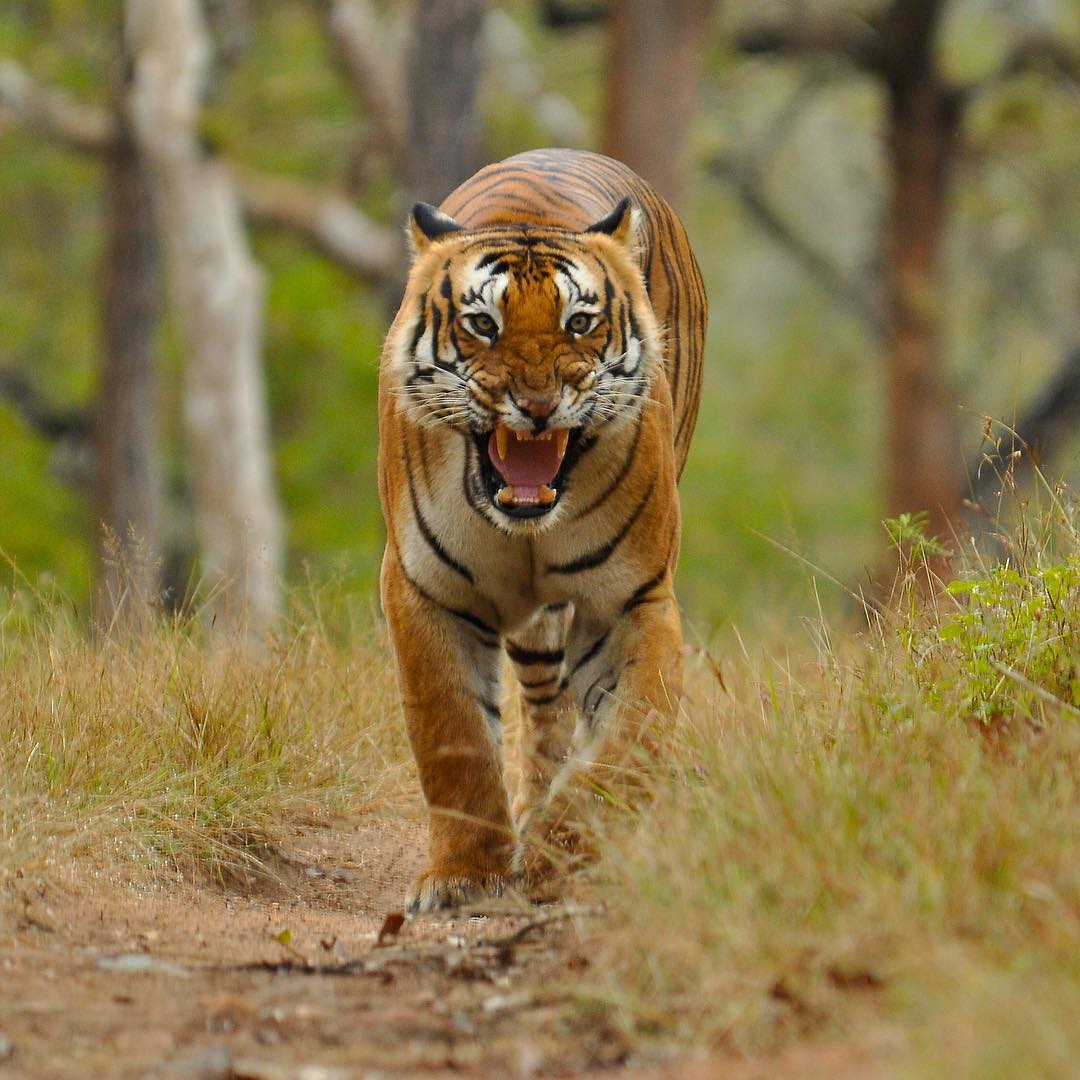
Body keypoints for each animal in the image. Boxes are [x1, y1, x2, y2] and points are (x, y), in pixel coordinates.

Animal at [378, 148, 707, 914]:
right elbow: (456, 740)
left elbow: (626, 743)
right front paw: (464, 872)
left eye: (580, 321)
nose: (534, 403)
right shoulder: (423, 590)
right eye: (483, 324)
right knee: (542, 711)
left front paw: (567, 852)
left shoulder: (631, 601)